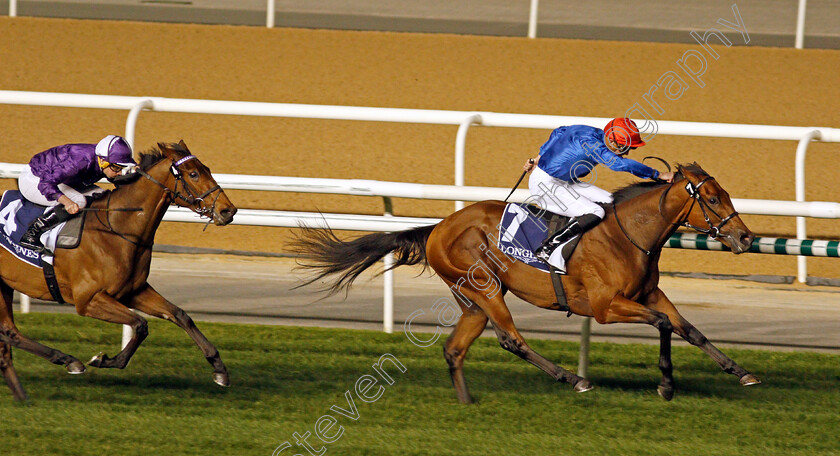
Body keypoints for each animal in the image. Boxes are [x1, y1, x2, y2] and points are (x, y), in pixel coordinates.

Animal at [0, 141, 236, 400]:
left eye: (207, 169)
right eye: (193, 174)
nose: (228, 211)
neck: (117, 229)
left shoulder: (133, 291)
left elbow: (180, 315)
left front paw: (219, 369)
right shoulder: (89, 300)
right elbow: (140, 324)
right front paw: (105, 360)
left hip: (4, 285)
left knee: (9, 332)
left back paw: (31, 388)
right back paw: (66, 363)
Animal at [294, 164, 760, 402]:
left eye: (726, 194)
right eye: (713, 199)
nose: (745, 238)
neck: (630, 235)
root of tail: (438, 228)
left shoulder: (650, 293)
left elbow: (689, 330)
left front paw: (741, 372)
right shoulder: (606, 307)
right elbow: (663, 326)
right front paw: (665, 384)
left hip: (471, 300)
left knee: (455, 348)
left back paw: (467, 403)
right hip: (485, 289)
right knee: (511, 339)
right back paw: (573, 378)